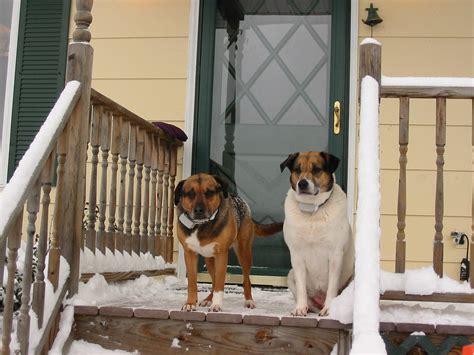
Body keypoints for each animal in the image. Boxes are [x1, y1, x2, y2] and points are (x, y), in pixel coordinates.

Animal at [176, 174, 284, 312]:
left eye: (209, 192)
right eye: (190, 193)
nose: (199, 210)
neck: (201, 226)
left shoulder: (222, 254)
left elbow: (219, 284)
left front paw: (216, 305)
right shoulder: (189, 254)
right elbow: (192, 283)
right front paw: (190, 303)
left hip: (244, 253)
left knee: (246, 280)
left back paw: (249, 301)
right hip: (209, 259)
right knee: (213, 280)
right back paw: (208, 299)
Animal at [280, 152, 354, 318]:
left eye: (317, 169)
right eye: (297, 169)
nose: (302, 184)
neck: (312, 210)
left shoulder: (335, 255)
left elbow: (332, 286)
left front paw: (329, 309)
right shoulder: (297, 256)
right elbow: (301, 287)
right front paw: (300, 309)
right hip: (290, 275)